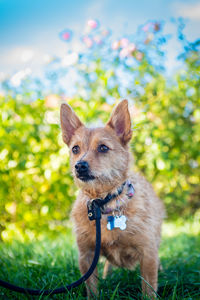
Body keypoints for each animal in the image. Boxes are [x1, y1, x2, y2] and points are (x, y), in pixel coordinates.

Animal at [60, 100, 165, 298]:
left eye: (103, 147)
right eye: (75, 149)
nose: (79, 166)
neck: (103, 203)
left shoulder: (148, 254)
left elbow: (148, 289)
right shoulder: (86, 256)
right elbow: (92, 289)